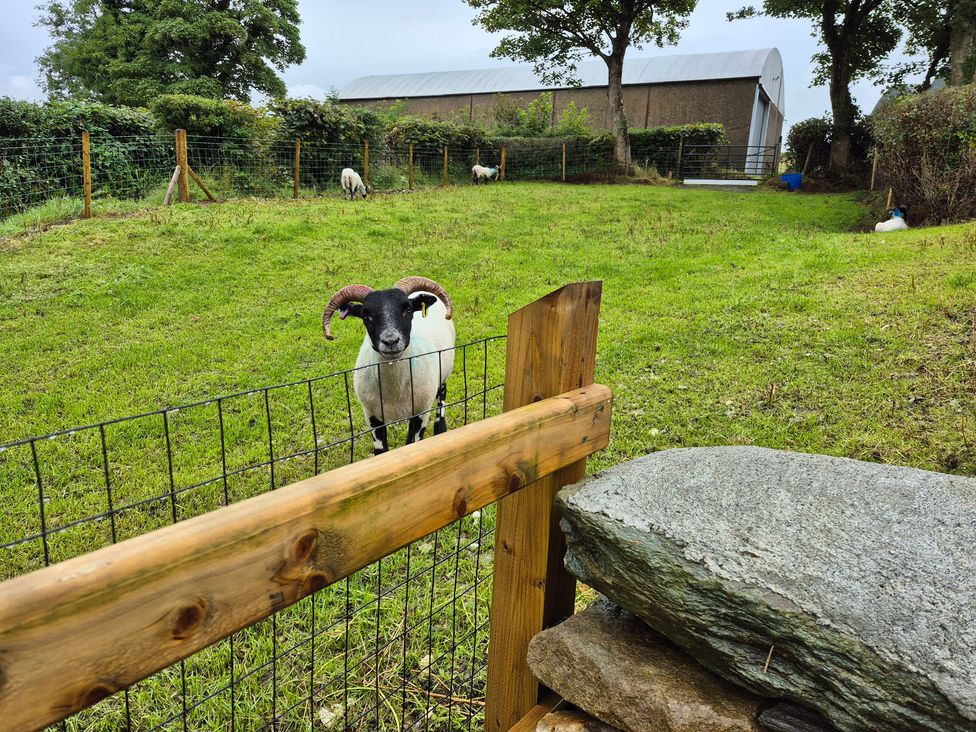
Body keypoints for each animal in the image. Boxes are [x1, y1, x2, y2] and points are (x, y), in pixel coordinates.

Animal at [323, 276, 455, 454]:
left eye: (408, 309)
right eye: (365, 314)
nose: (390, 341)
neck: (395, 392)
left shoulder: (421, 412)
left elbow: (412, 444)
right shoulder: (372, 416)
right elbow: (381, 452)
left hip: (443, 375)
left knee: (442, 400)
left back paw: (441, 429)